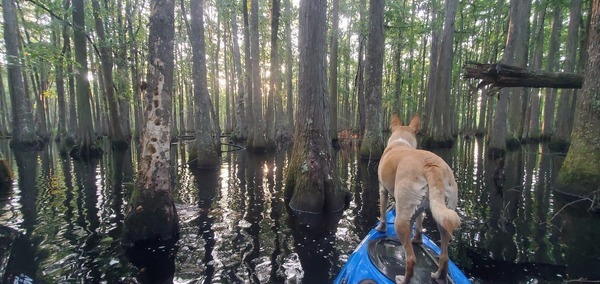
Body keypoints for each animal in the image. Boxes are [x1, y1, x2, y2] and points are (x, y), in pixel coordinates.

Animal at [378, 114, 462, 282]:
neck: (400, 141)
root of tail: (432, 166)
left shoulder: (383, 190)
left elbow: (383, 213)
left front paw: (381, 227)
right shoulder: (420, 208)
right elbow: (418, 224)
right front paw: (417, 239)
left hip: (400, 221)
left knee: (411, 260)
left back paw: (402, 280)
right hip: (443, 218)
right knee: (444, 256)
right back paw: (438, 276)